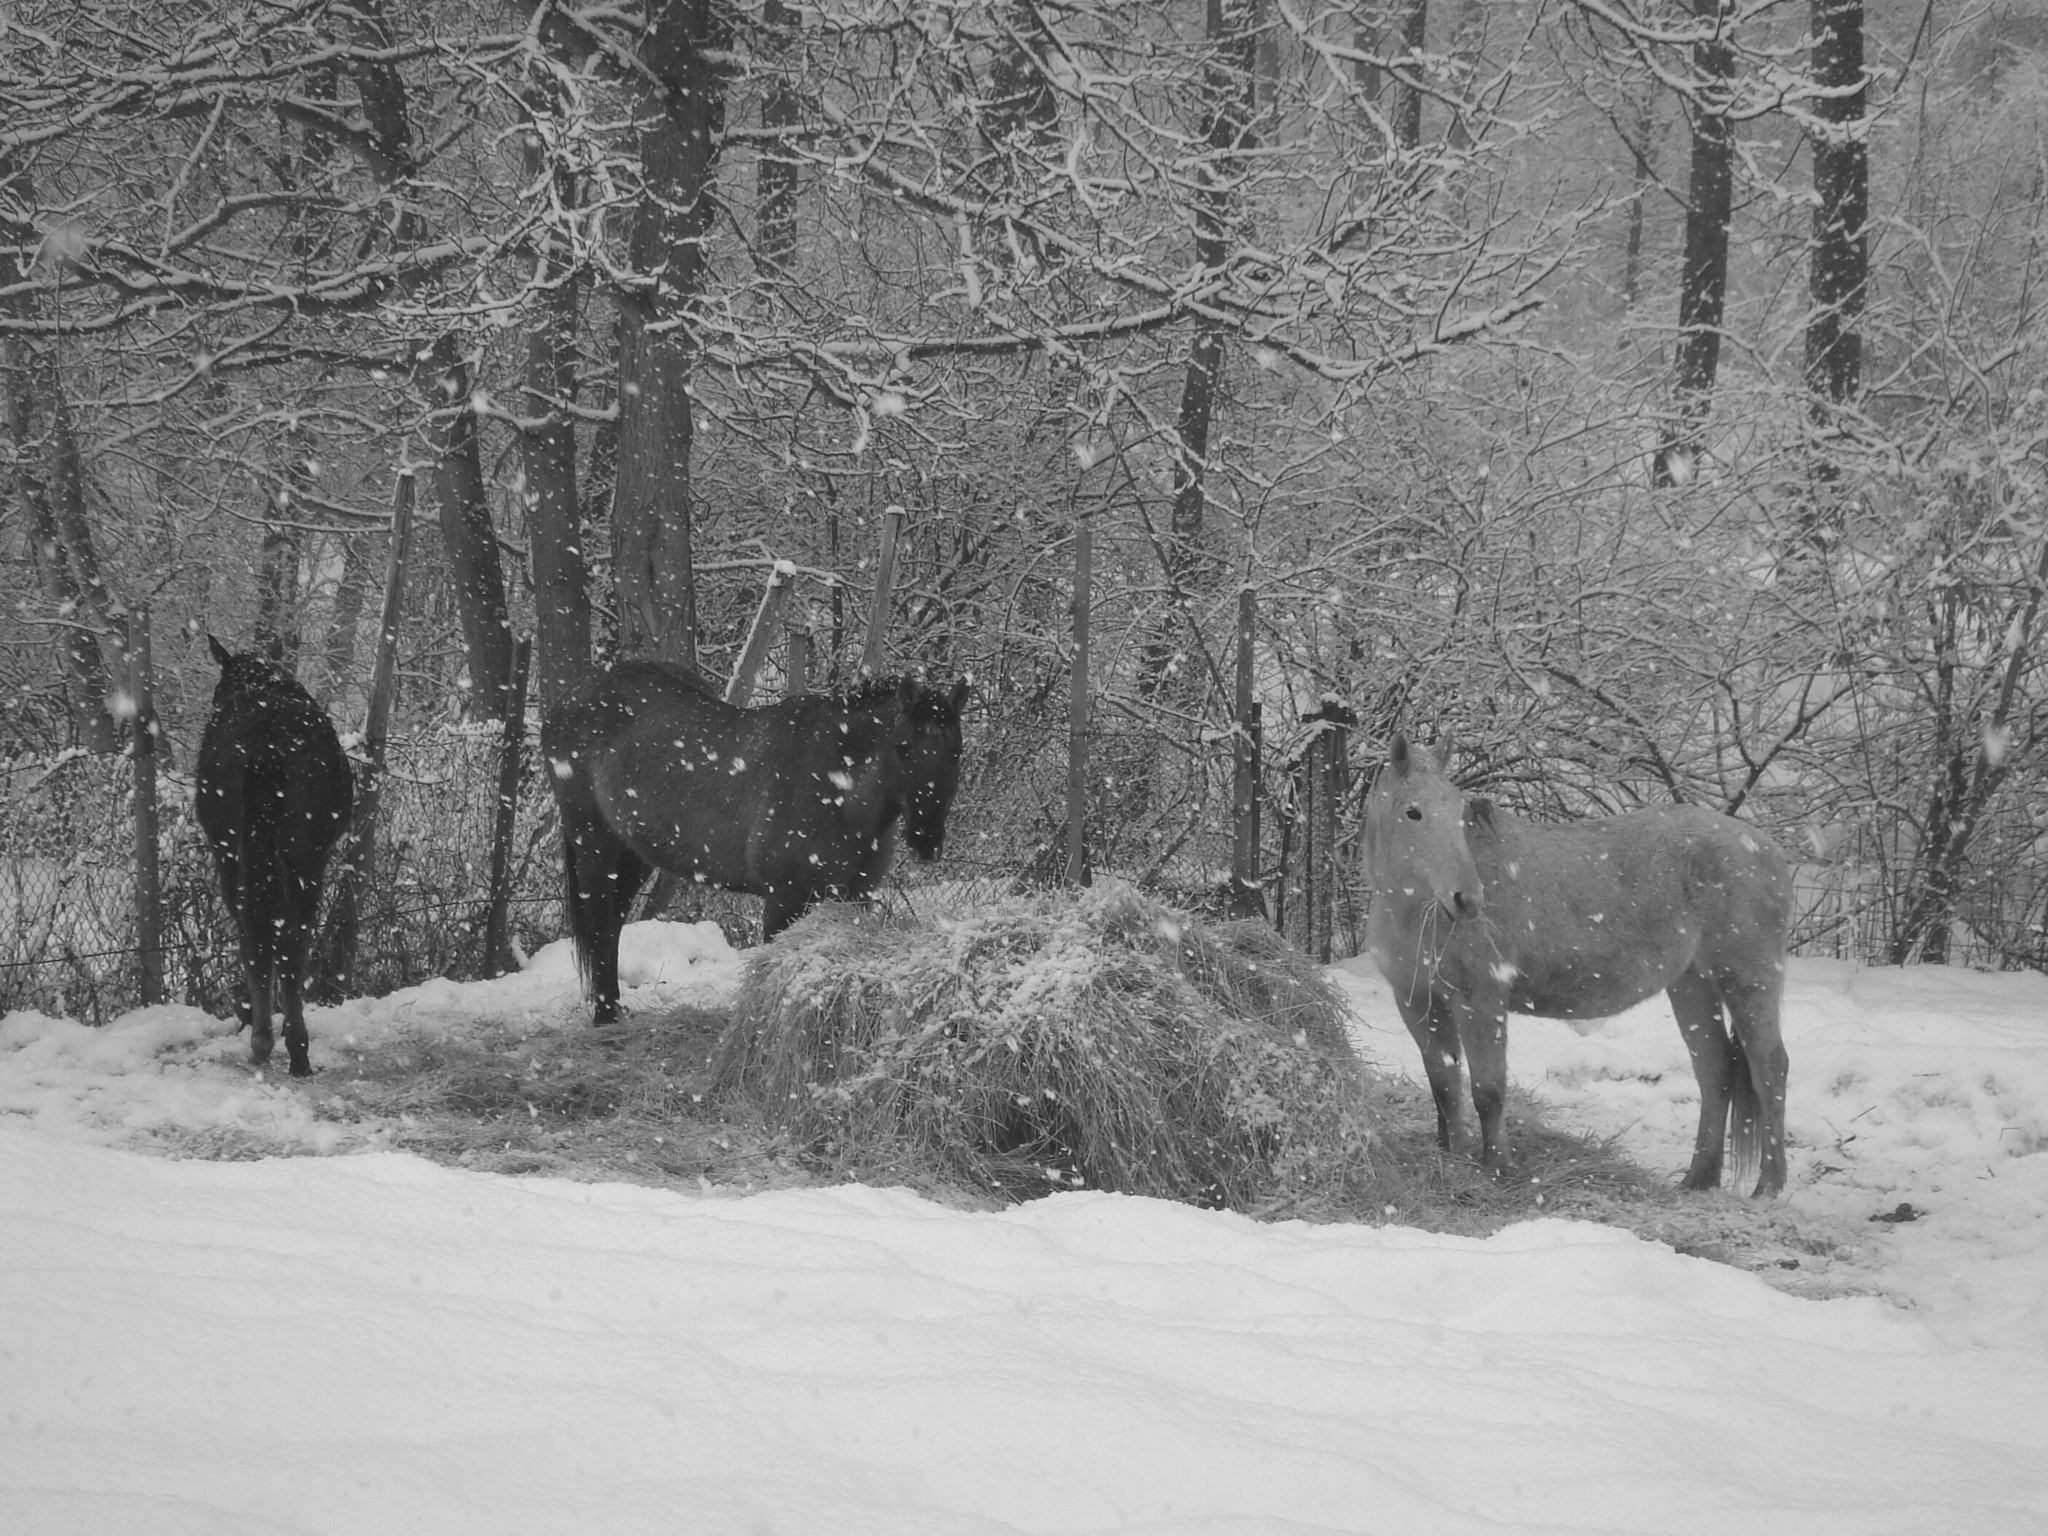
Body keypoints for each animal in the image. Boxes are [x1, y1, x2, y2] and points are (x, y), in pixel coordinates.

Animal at [195, 630, 356, 1073]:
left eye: (217, 691)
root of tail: (266, 743)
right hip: (303, 857)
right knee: (288, 935)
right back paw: (291, 1045)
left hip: (245, 857)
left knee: (264, 935)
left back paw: (268, 1040)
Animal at [536, 663, 966, 1024]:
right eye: (903, 747)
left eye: (956, 751)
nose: (926, 840)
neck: (835, 786)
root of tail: (569, 700)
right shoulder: (784, 899)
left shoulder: (854, 898)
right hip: (594, 844)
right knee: (599, 921)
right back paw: (605, 1014)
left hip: (631, 854)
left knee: (612, 926)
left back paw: (614, 1008)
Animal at [1376, 737, 1794, 1204]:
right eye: (1413, 812)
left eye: (1458, 813)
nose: (1466, 899)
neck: (1418, 910)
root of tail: (1764, 847)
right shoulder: (1418, 1002)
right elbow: (1443, 1084)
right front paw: (1453, 1161)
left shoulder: (1480, 1000)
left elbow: (1488, 1091)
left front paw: (1499, 1169)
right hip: (1693, 986)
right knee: (1715, 1069)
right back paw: (1697, 1179)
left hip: (1747, 980)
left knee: (1769, 1067)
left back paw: (1768, 1188)